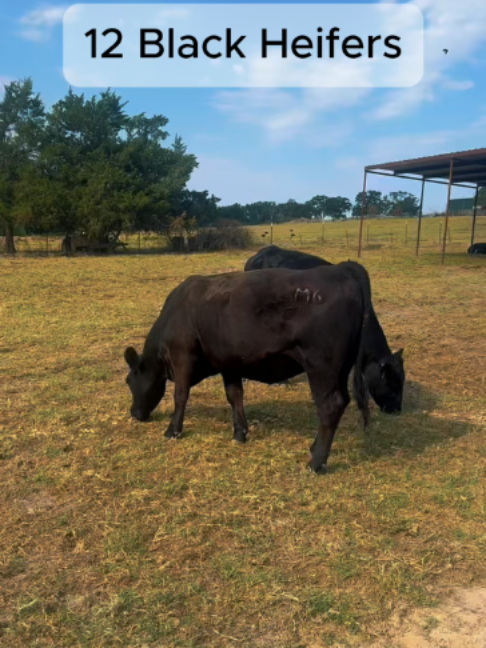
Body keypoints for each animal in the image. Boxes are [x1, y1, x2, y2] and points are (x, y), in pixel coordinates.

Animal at [124, 262, 373, 474]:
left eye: (128, 381)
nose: (134, 413)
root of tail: (340, 270)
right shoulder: (230, 363)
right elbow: (235, 396)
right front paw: (239, 433)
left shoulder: (182, 356)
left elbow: (180, 395)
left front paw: (172, 430)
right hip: (341, 369)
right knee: (341, 402)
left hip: (321, 366)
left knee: (330, 406)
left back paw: (317, 462)